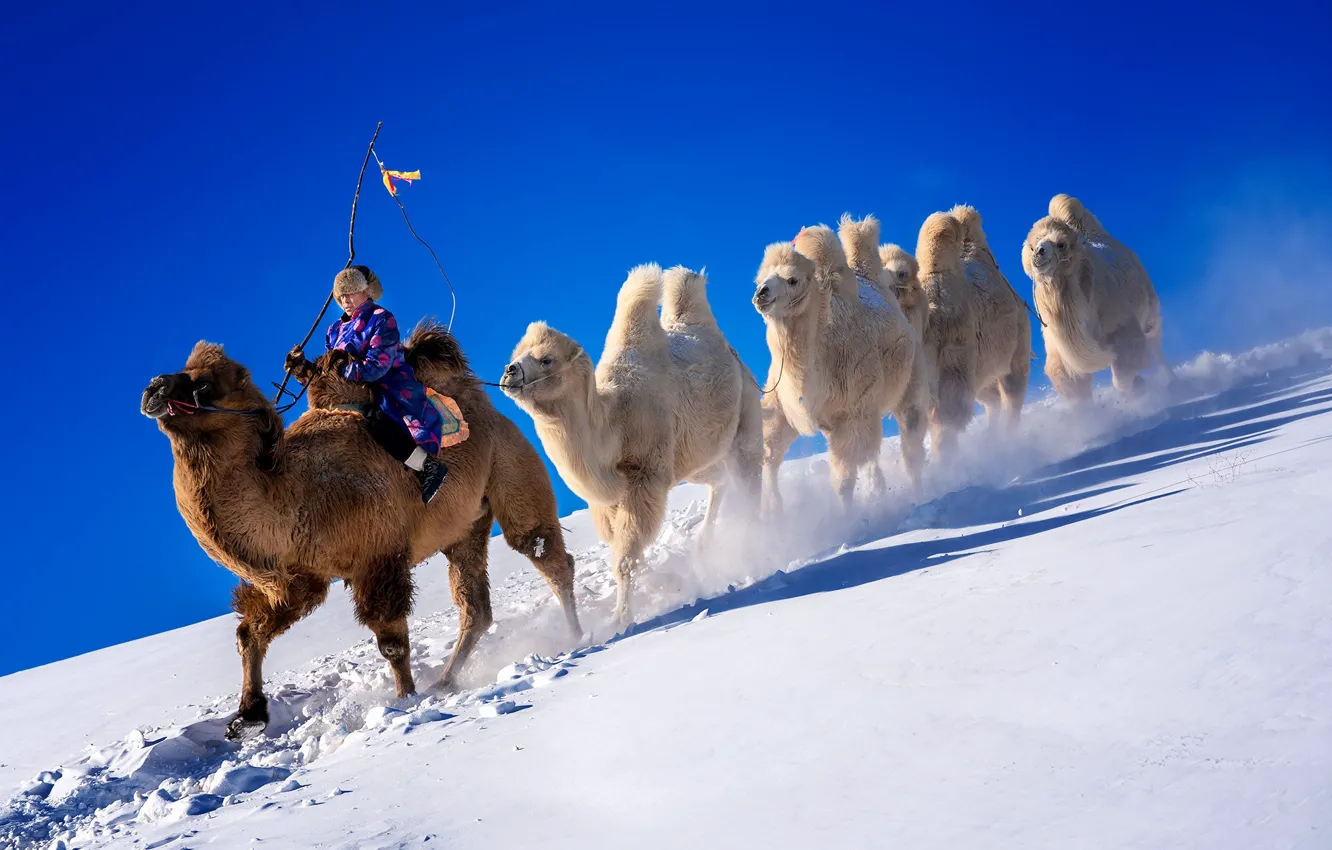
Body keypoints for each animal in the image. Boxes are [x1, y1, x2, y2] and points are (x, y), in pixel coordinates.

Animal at [141, 321, 581, 740]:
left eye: (204, 384)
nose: (152, 388)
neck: (294, 490)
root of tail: (484, 401)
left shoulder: (378, 557)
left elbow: (390, 641)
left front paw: (404, 700)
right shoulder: (300, 578)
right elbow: (250, 632)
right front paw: (247, 718)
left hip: (512, 468)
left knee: (545, 553)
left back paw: (577, 635)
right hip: (464, 529)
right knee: (475, 606)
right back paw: (445, 681)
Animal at [501, 264, 762, 629]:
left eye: (546, 359)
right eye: (518, 354)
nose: (509, 371)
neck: (614, 422)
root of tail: (734, 357)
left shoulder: (645, 478)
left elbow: (625, 557)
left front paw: (619, 621)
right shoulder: (608, 500)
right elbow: (620, 547)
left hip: (745, 420)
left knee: (750, 481)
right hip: (694, 457)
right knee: (718, 480)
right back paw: (705, 544)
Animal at [753, 217, 930, 516]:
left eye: (792, 279)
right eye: (762, 277)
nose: (761, 294)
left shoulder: (852, 414)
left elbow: (843, 481)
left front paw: (849, 520)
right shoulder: (783, 407)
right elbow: (769, 455)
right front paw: (772, 510)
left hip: (911, 381)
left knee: (911, 443)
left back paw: (919, 495)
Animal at [1023, 193, 1169, 400]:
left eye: (1061, 244)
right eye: (1032, 246)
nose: (1038, 253)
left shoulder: (1121, 328)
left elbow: (1124, 372)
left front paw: (1137, 387)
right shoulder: (1059, 348)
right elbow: (1071, 381)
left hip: (1150, 311)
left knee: (1156, 344)